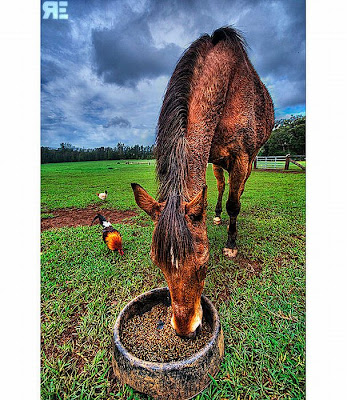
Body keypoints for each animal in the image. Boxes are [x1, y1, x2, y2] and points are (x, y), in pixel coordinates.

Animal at [131, 25, 274, 338]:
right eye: (157, 262)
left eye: (205, 261)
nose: (186, 328)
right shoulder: (209, 155)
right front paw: (216, 216)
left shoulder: (242, 156)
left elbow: (235, 203)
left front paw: (231, 243)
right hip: (218, 161)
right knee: (219, 187)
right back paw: (217, 214)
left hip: (248, 159)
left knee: (236, 191)